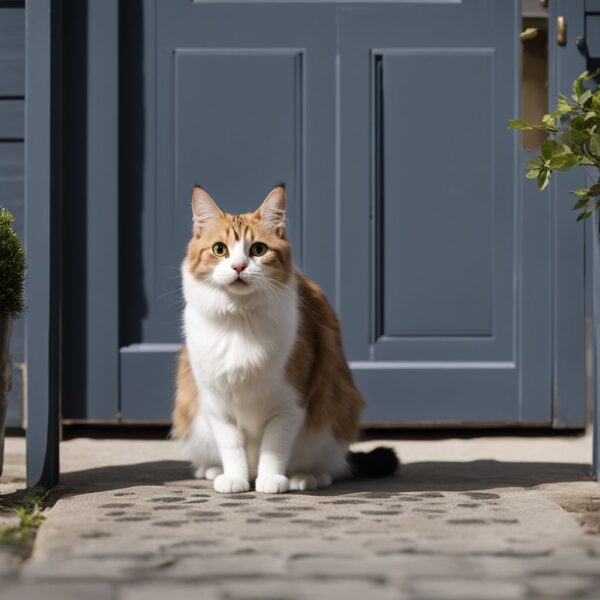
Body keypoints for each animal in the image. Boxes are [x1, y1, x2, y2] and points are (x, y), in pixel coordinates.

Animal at [172, 186, 398, 492]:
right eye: (220, 249)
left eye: (258, 249)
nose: (239, 266)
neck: (241, 320)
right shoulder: (218, 406)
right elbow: (232, 446)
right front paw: (234, 479)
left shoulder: (289, 404)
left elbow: (274, 446)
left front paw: (270, 480)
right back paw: (213, 470)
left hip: (331, 418)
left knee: (331, 465)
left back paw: (306, 477)